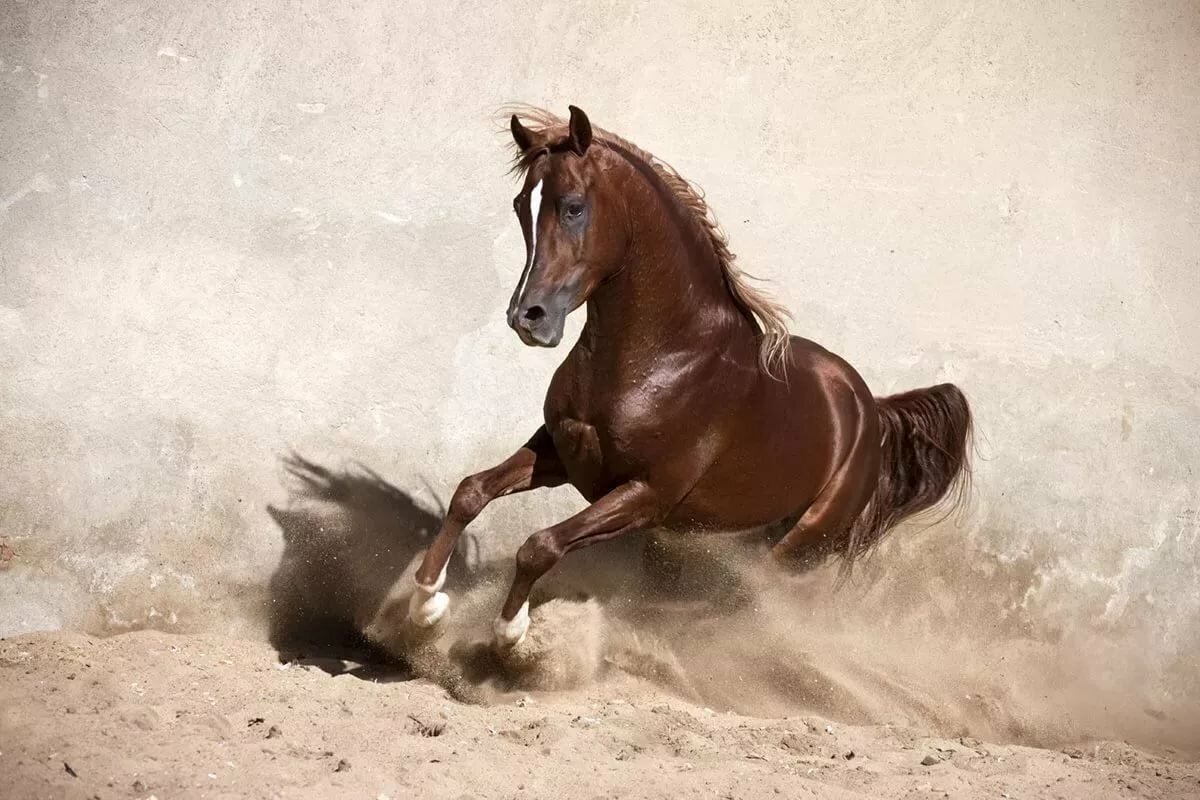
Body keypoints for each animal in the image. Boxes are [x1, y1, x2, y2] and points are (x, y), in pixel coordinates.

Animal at [408, 104, 969, 652]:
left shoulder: (648, 496)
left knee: (739, 607)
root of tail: (870, 410)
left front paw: (509, 632)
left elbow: (538, 546)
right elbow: (470, 493)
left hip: (795, 547)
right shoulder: (564, 454)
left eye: (573, 207)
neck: (664, 357)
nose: (528, 317)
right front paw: (425, 606)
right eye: (522, 204)